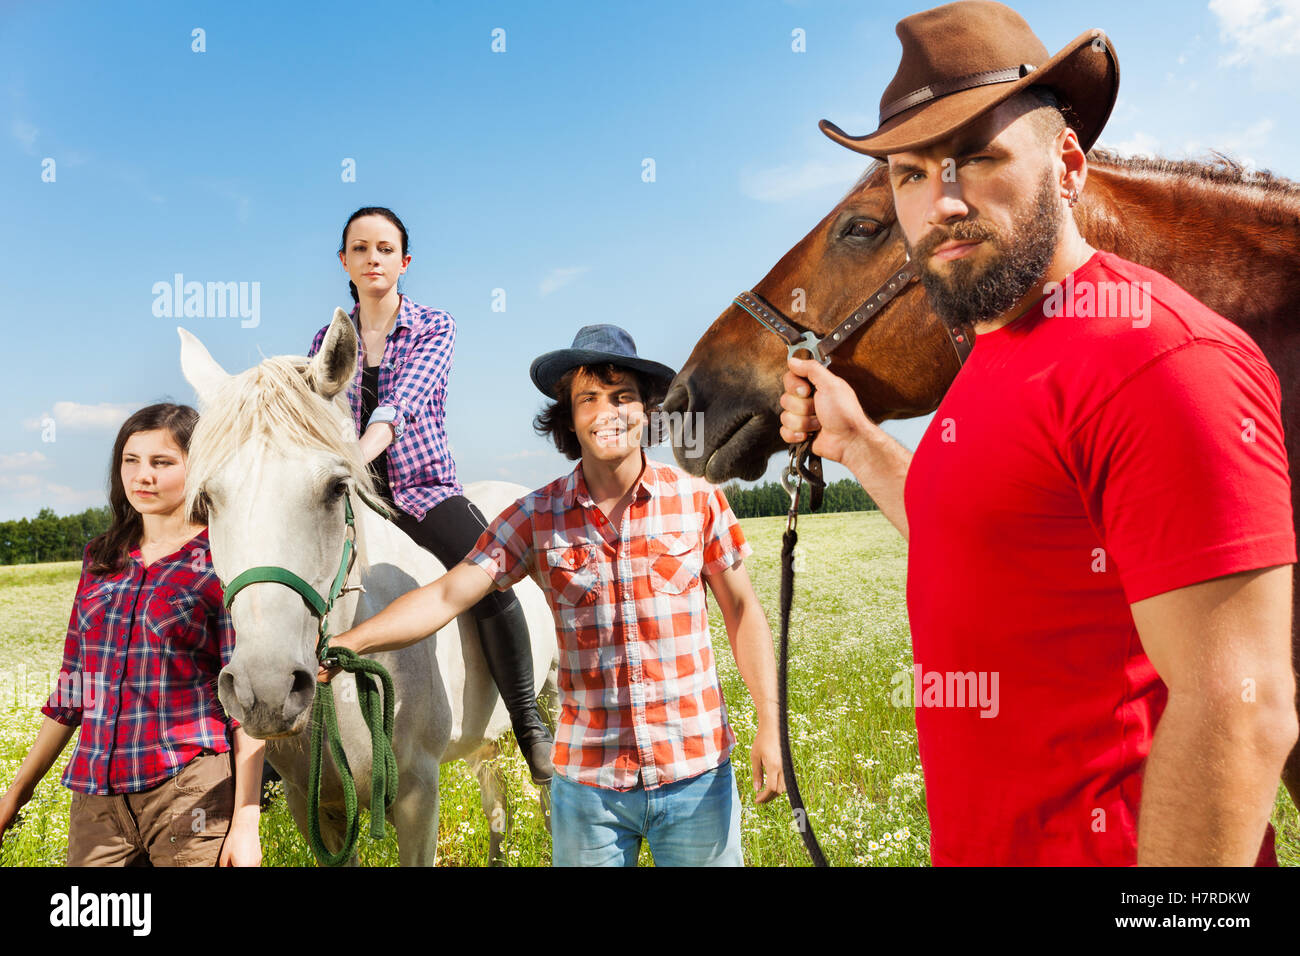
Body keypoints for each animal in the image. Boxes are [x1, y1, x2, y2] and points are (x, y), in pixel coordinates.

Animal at [176, 314, 553, 868]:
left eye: (336, 489)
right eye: (206, 500)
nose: (266, 690)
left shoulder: (418, 796)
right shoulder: (315, 807)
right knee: (498, 802)